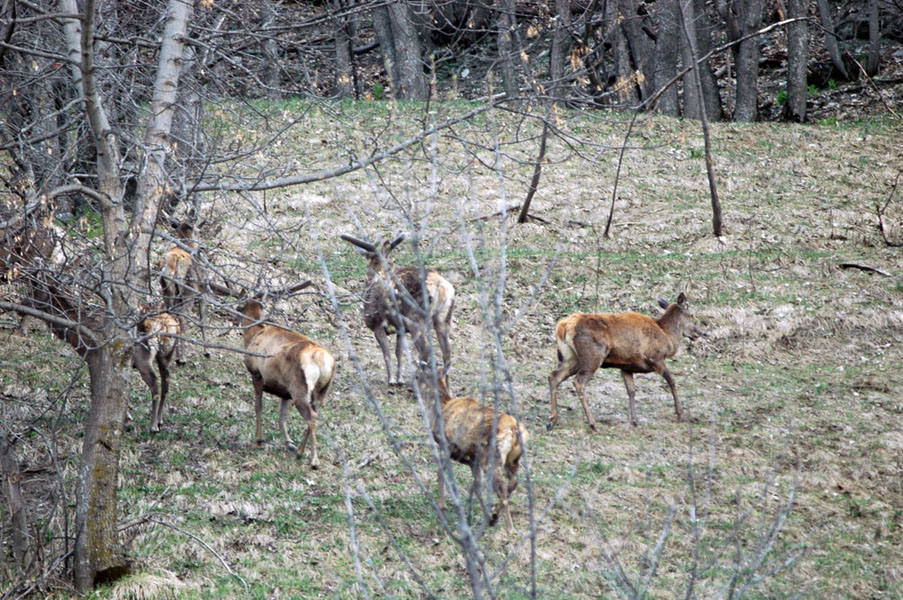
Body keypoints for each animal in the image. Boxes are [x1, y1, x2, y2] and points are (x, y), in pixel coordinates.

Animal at [160, 220, 209, 360]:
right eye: (198, 231)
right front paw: (207, 351)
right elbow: (203, 320)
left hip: (167, 289)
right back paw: (182, 358)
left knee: (171, 315)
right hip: (189, 290)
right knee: (182, 317)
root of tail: (175, 261)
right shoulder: (203, 292)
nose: (202, 246)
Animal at [237, 282, 336, 468]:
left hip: (300, 387)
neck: (253, 336)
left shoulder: (257, 374)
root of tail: (322, 360)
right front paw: (289, 443)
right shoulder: (285, 392)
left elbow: (258, 406)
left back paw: (314, 460)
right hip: (321, 390)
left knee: (311, 417)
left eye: (239, 306)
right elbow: (282, 417)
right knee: (316, 414)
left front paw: (259, 439)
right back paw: (300, 451)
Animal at [340, 232, 456, 386]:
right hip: (444, 316)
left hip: (416, 317)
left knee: (425, 350)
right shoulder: (400, 329)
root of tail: (441, 286)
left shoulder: (377, 324)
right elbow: (399, 352)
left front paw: (391, 380)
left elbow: (387, 353)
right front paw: (399, 379)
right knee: (447, 352)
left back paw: (419, 379)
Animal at [424, 370, 528, 528]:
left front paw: (442, 506)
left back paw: (509, 528)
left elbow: (440, 472)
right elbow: (477, 486)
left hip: (493, 457)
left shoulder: (447, 444)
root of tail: (514, 430)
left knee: (502, 488)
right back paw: (494, 516)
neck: (442, 407)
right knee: (513, 481)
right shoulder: (472, 459)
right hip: (512, 459)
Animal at [548, 292, 704, 428]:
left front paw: (634, 419)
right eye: (692, 315)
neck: (668, 337)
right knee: (578, 382)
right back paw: (592, 423)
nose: (700, 333)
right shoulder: (655, 358)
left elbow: (631, 391)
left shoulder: (626, 367)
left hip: (571, 358)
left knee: (554, 376)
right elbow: (671, 381)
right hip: (592, 357)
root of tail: (563, 326)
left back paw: (552, 420)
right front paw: (680, 414)